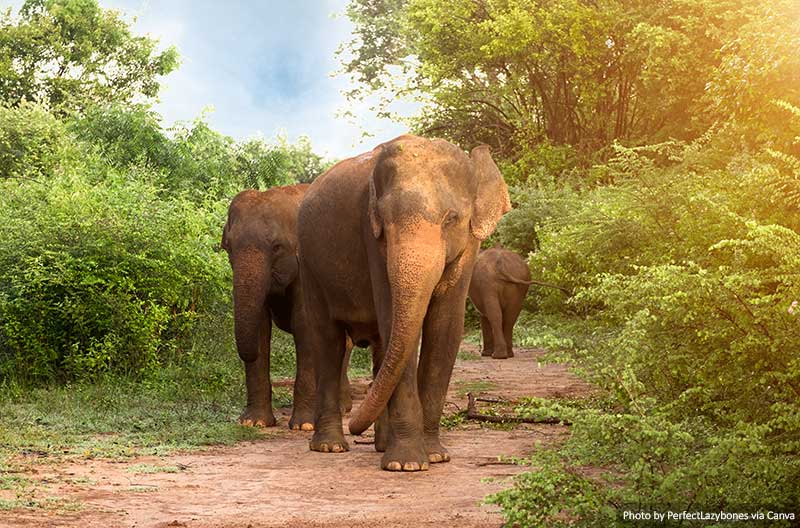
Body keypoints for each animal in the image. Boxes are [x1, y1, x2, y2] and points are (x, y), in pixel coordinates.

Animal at [222, 184, 352, 431]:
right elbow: (261, 328)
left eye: (277, 247)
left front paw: (305, 426)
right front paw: (253, 423)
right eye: (228, 247)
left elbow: (305, 325)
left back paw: (341, 409)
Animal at [297, 135, 510, 471]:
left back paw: (381, 445)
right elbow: (392, 320)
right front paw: (406, 465)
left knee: (380, 348)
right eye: (383, 222)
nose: (356, 426)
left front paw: (435, 455)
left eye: (451, 219)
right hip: (309, 265)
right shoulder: (372, 239)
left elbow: (446, 327)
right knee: (328, 339)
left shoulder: (469, 247)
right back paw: (330, 447)